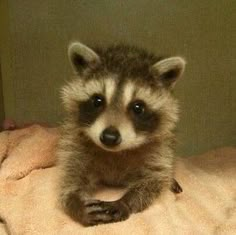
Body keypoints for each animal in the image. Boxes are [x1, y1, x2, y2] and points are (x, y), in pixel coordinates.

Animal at [56, 40, 184, 226]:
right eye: (97, 100)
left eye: (138, 107)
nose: (109, 137)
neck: (115, 152)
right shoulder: (74, 142)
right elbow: (70, 174)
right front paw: (74, 199)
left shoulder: (159, 149)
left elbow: (154, 179)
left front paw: (126, 201)